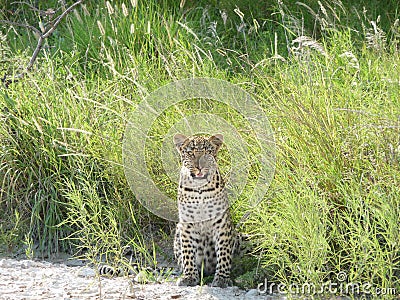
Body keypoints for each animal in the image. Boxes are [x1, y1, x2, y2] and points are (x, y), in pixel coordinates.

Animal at [173, 132, 234, 288]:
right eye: (190, 153)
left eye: (207, 152)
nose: (199, 167)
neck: (200, 190)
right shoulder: (187, 224)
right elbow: (188, 251)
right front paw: (189, 276)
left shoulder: (221, 223)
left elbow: (224, 251)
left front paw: (222, 278)